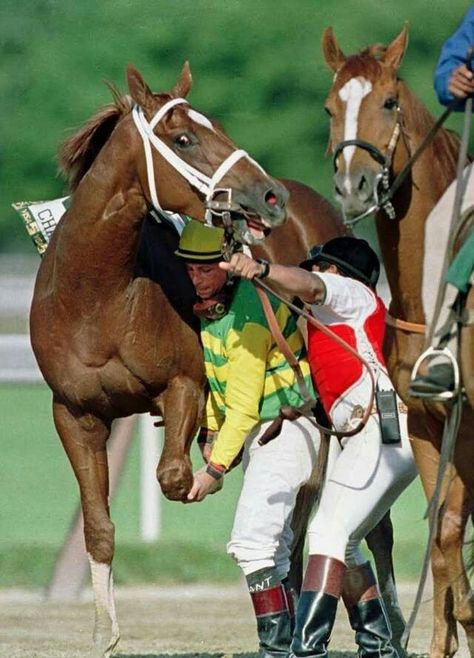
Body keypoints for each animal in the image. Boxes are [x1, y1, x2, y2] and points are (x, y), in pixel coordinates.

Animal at [30, 62, 288, 656]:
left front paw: (206, 470)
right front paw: (105, 634)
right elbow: (98, 528)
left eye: (218, 124)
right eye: (184, 138)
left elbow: (173, 475)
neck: (95, 297)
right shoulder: (74, 413)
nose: (270, 195)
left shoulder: (182, 385)